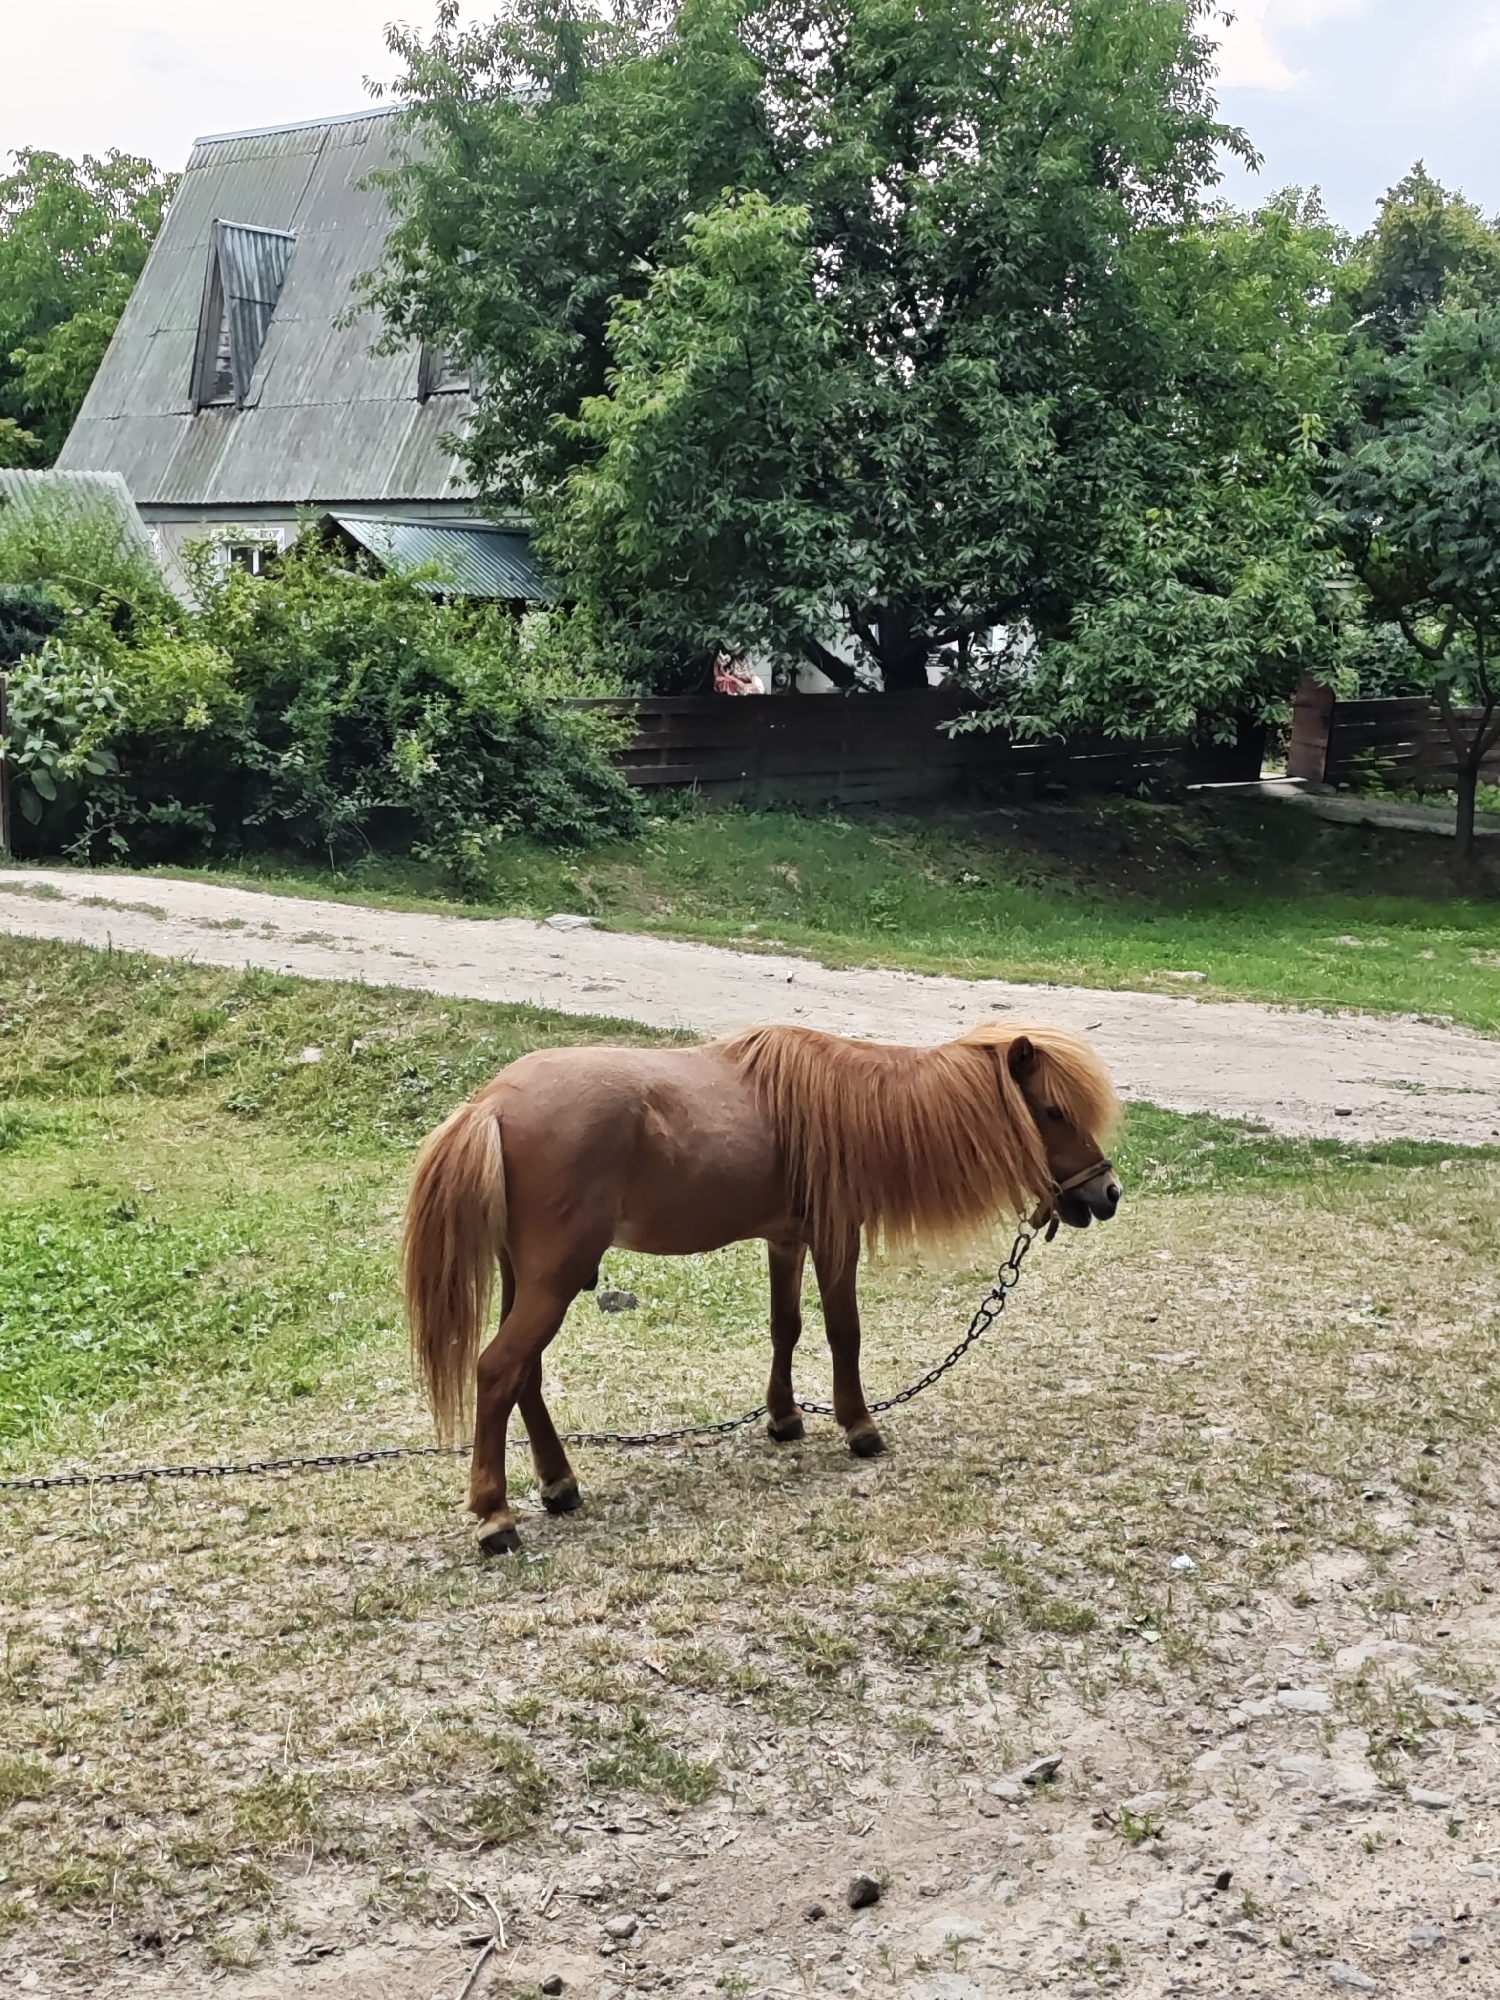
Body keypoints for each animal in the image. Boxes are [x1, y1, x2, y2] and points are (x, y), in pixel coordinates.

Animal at [402, 1020, 1122, 1554]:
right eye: (1052, 1111)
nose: (1107, 1194)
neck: (849, 1106)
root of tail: (492, 1103)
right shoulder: (836, 1236)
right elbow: (843, 1330)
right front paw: (859, 1426)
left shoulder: (786, 1240)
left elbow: (787, 1326)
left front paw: (785, 1417)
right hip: (553, 1278)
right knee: (499, 1369)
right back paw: (495, 1516)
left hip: (529, 1278)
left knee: (523, 1374)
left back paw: (558, 1483)